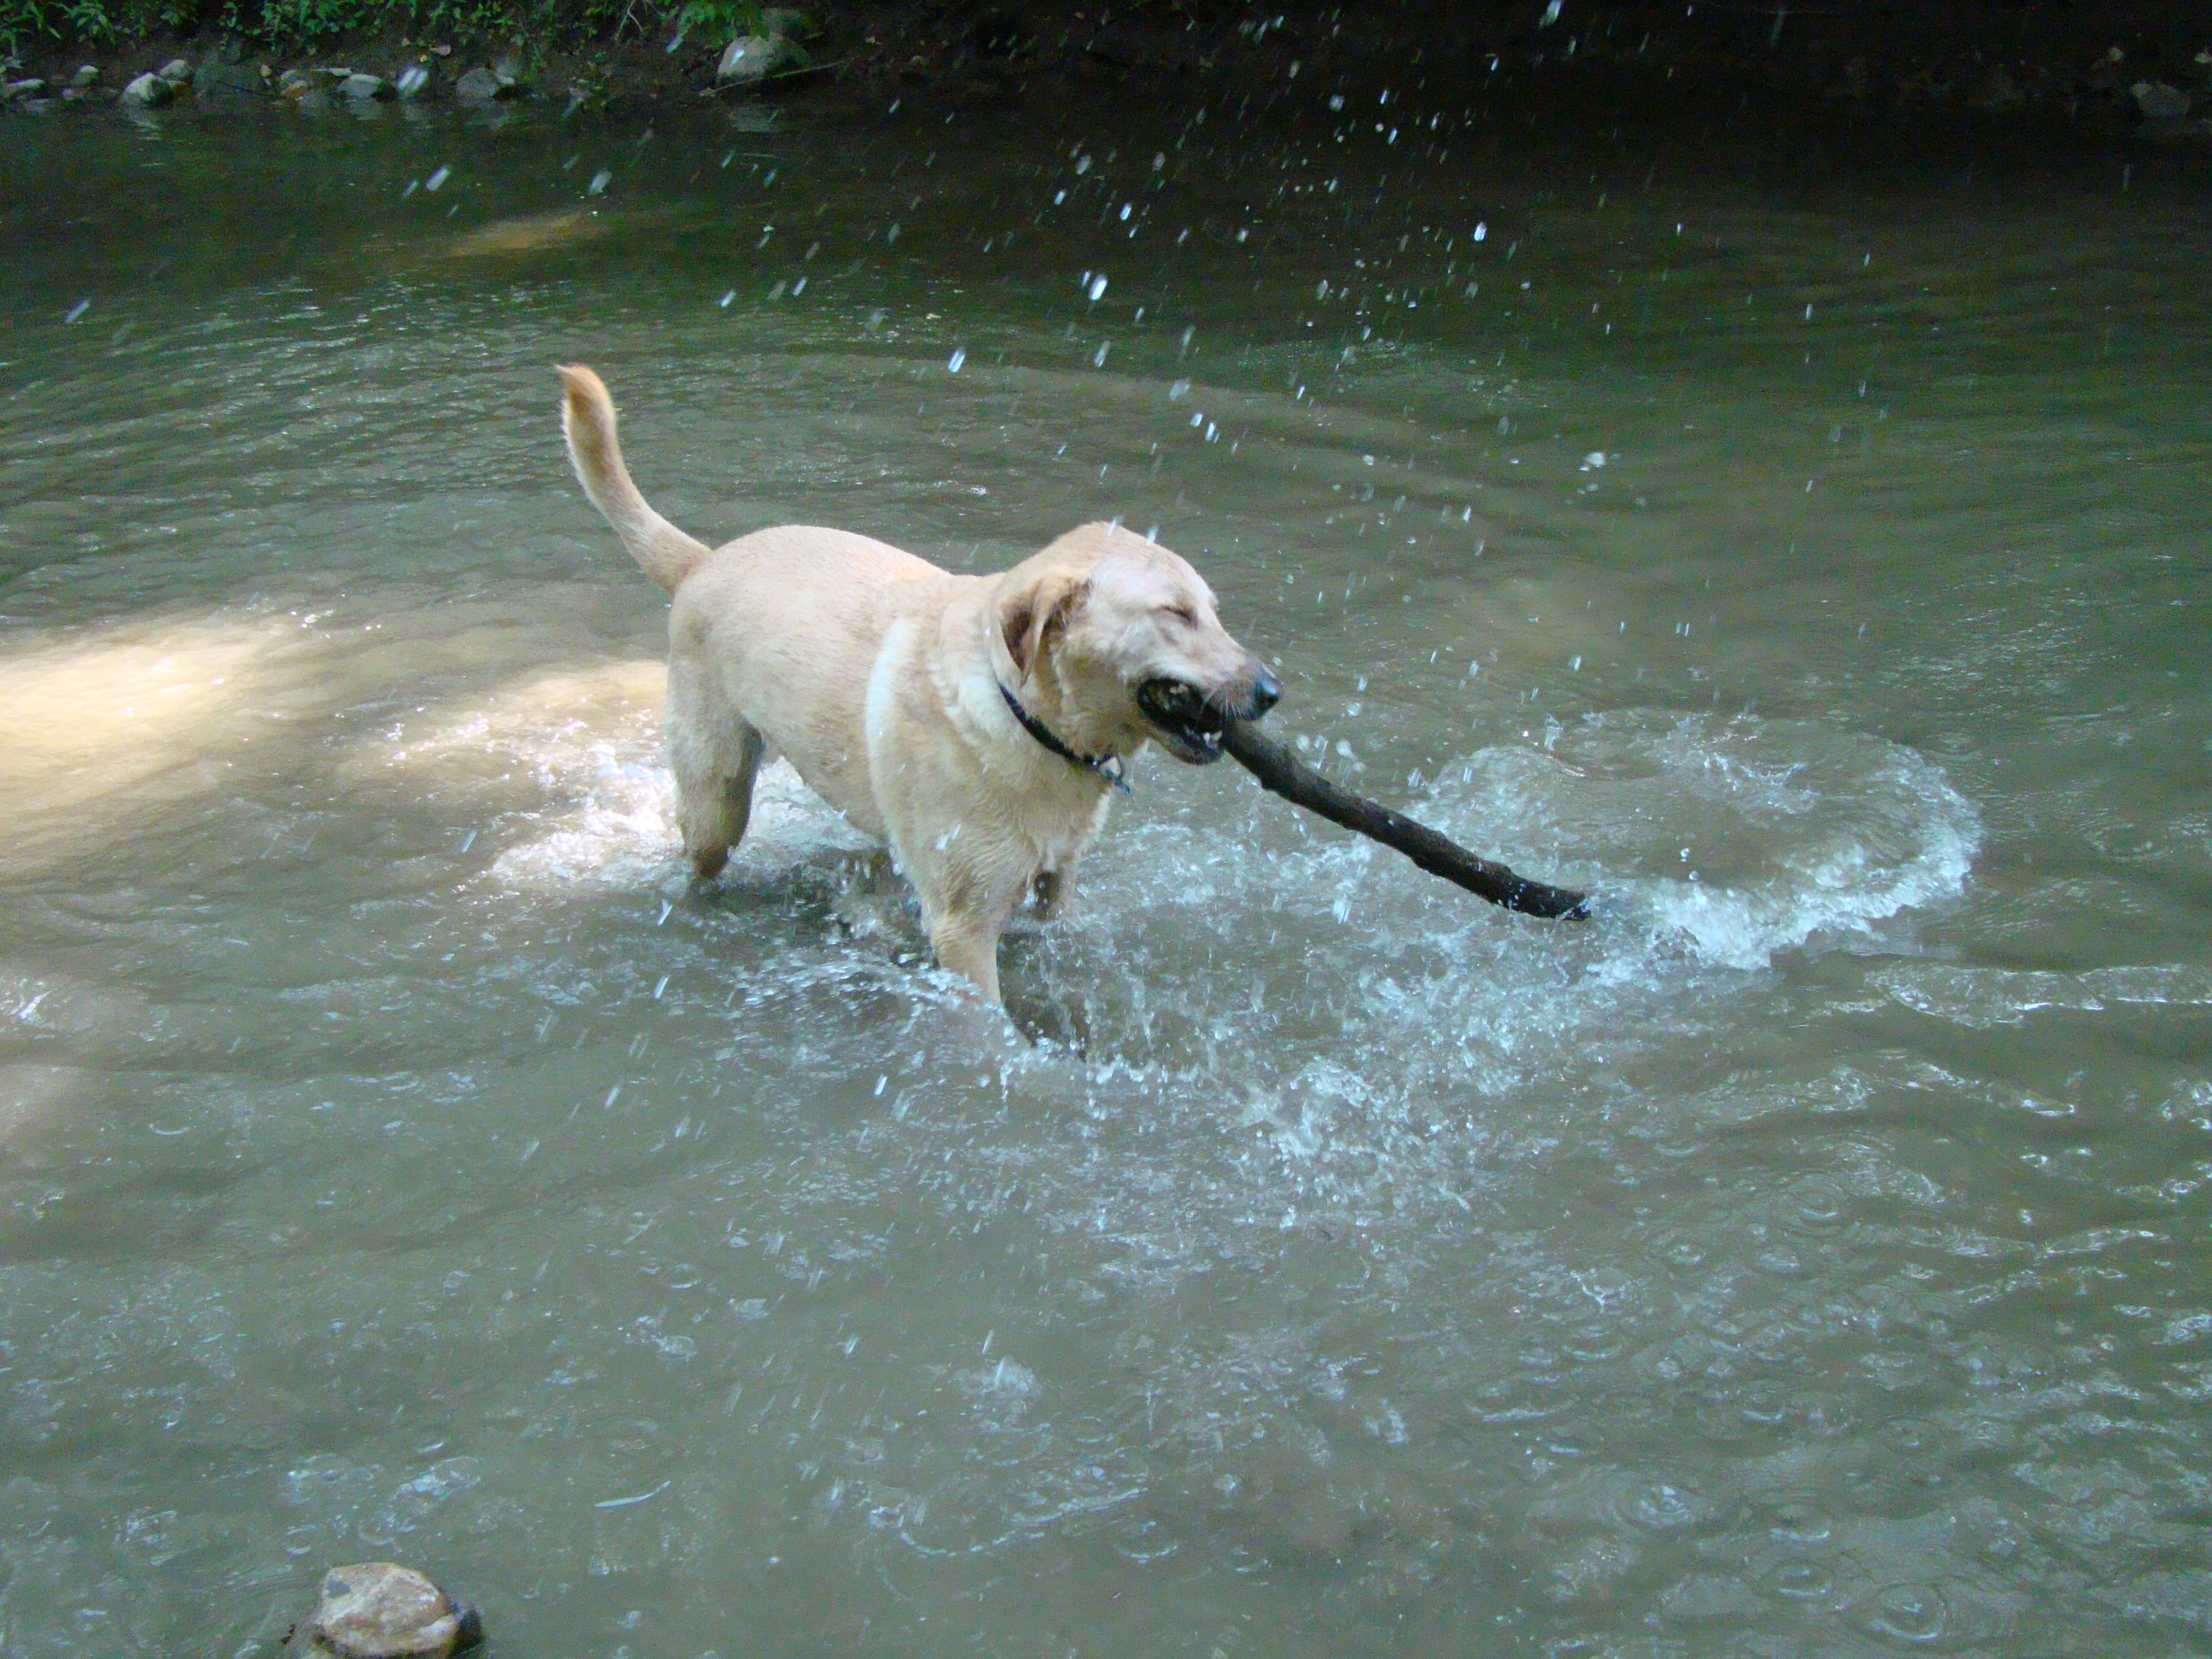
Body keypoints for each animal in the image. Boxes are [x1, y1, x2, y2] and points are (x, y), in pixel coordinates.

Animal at [557, 364, 1283, 1008]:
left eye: (1213, 611)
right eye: (1176, 614)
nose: (1272, 691)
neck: (1024, 716)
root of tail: (703, 561)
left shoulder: (1059, 885)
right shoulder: (964, 930)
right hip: (718, 796)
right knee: (701, 856)